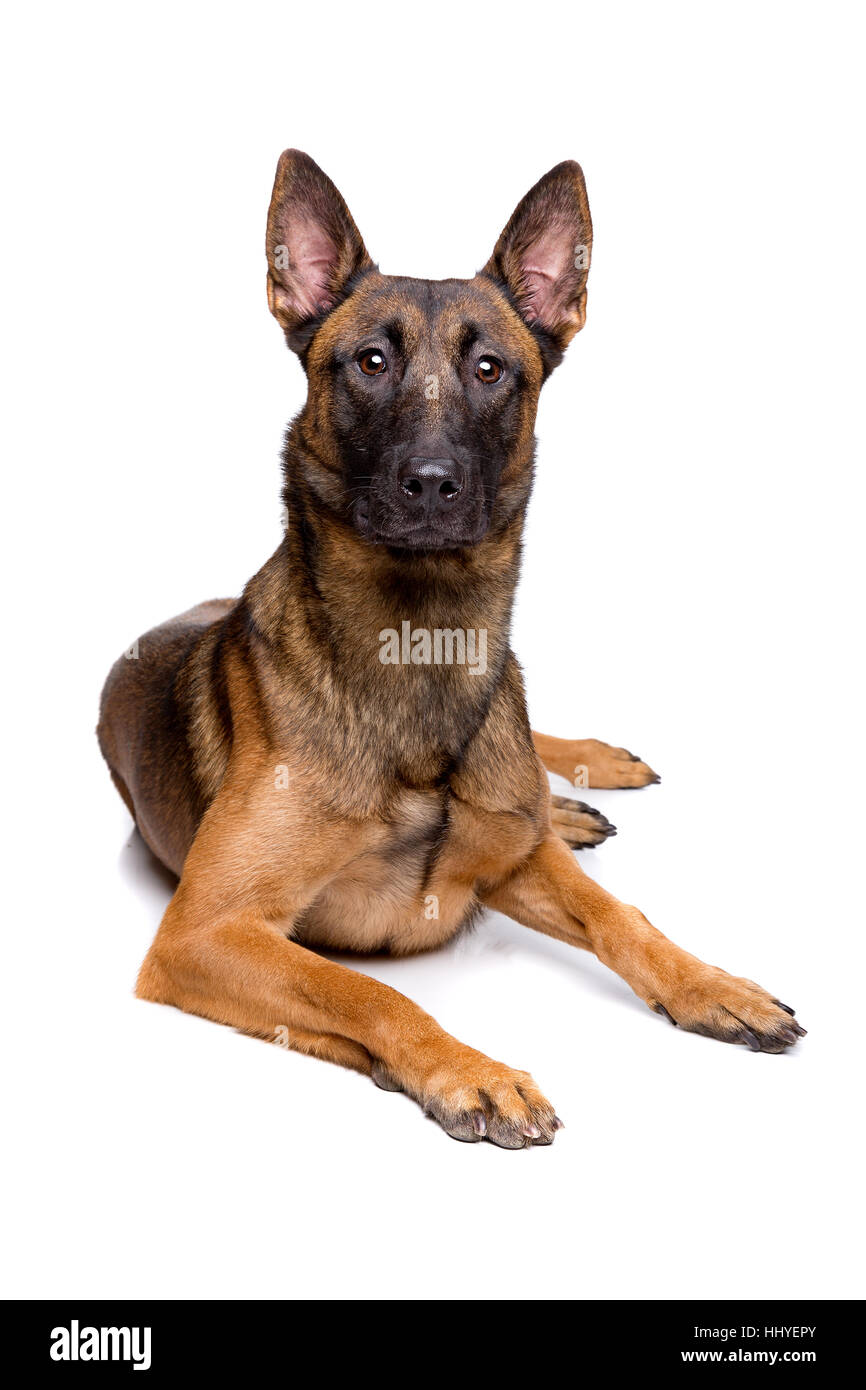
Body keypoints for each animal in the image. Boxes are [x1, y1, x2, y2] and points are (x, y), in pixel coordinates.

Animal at [96, 154, 806, 1150]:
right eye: (370, 361)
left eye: (489, 368)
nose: (431, 484)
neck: (418, 646)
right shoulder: (204, 932)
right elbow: (363, 991)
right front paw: (467, 1071)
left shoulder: (513, 853)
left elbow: (621, 913)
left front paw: (709, 983)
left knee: (535, 765)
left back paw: (581, 783)